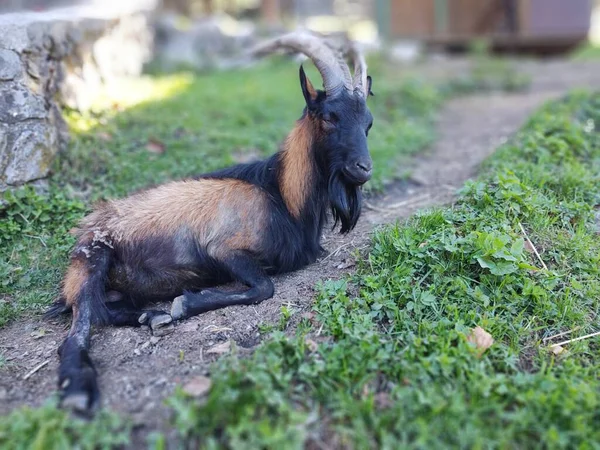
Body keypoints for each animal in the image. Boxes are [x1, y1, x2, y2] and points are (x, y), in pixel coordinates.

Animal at [44, 30, 376, 414]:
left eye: (368, 123)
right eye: (330, 116)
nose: (364, 168)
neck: (281, 195)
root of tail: (88, 226)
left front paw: (174, 308)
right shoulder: (224, 249)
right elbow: (263, 287)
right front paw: (185, 303)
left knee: (109, 310)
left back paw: (151, 317)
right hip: (93, 260)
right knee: (80, 326)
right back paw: (79, 388)